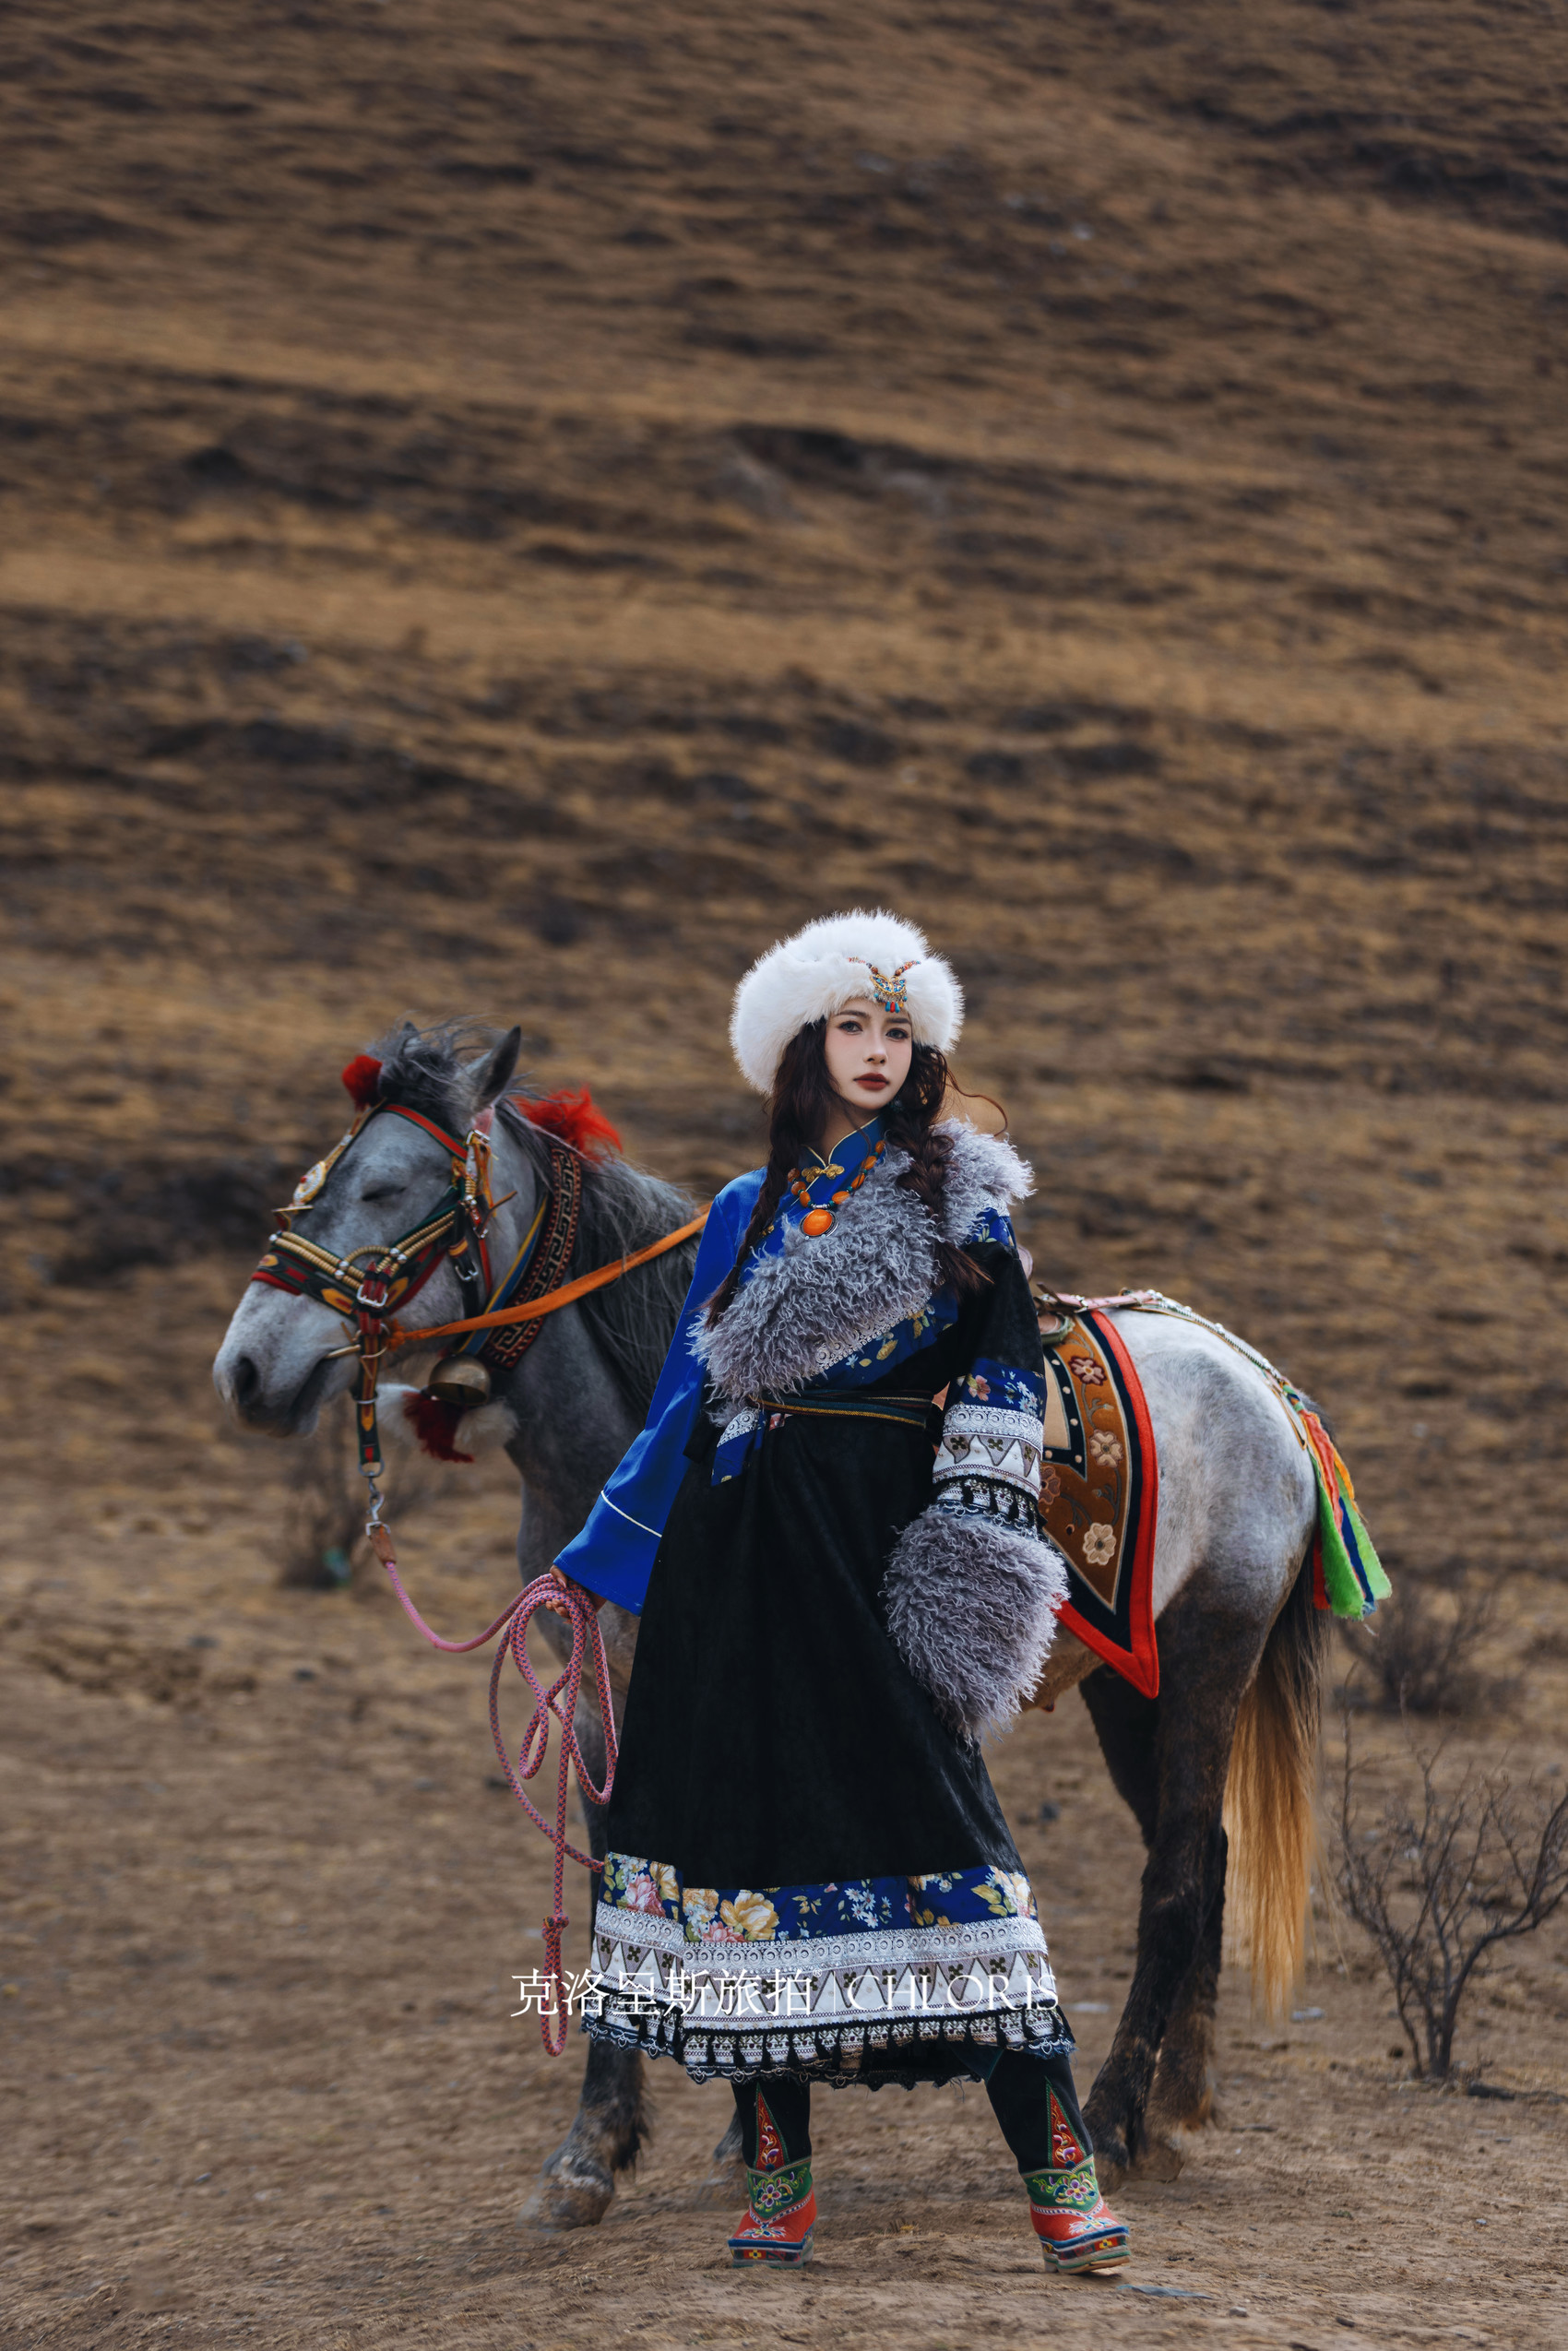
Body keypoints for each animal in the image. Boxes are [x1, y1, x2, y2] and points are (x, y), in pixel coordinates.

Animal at [215, 1020, 1335, 2210]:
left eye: (386, 1185)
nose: (245, 1367)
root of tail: (1263, 1385)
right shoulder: (605, 1687)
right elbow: (630, 1878)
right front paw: (608, 2143)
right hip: (1130, 1685)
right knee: (1202, 1852)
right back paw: (1178, 2098)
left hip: (1211, 1650)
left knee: (1174, 1874)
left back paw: (1118, 2115)